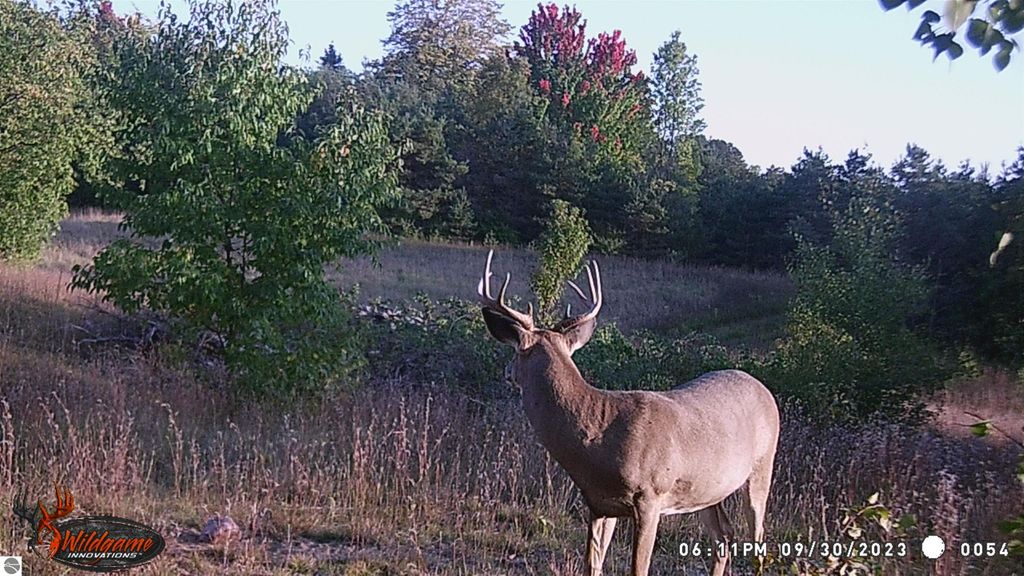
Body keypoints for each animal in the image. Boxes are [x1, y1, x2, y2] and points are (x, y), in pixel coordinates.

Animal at [477, 250, 780, 576]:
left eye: (516, 352)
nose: (507, 372)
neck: (597, 436)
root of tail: (764, 389)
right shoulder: (598, 503)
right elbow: (592, 564)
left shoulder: (650, 497)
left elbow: (638, 567)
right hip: (708, 489)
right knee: (724, 535)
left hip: (762, 466)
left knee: (757, 539)